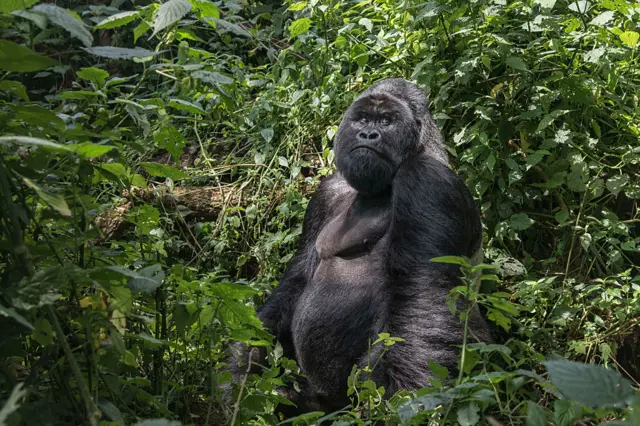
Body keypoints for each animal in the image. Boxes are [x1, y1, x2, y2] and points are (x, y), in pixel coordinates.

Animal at [229, 76, 490, 416]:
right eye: (363, 119)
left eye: (387, 121)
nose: (368, 134)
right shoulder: (327, 193)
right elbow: (296, 282)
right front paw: (243, 368)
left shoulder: (427, 181)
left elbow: (423, 297)